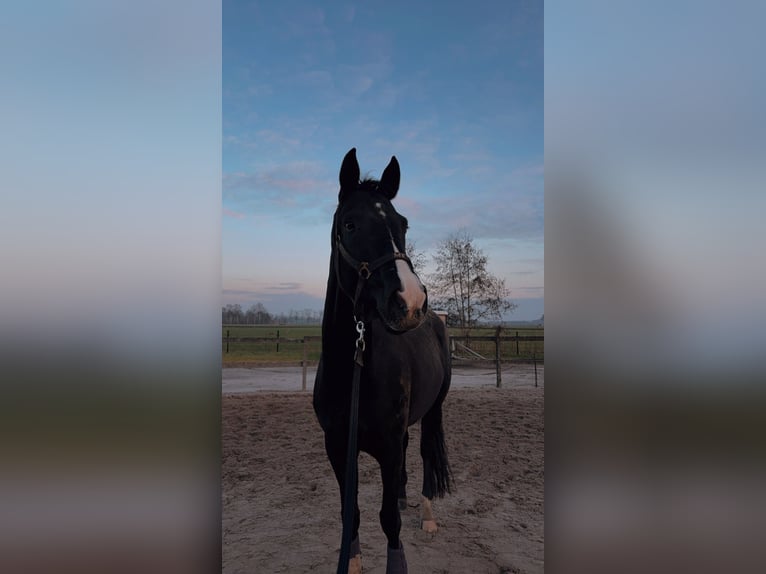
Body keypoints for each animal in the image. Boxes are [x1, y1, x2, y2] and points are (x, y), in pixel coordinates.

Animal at [313, 148, 453, 574]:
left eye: (402, 224)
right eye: (350, 224)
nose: (410, 301)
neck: (353, 370)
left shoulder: (388, 447)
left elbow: (388, 520)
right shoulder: (338, 447)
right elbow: (352, 514)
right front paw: (353, 562)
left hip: (434, 410)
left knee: (424, 453)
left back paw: (425, 514)